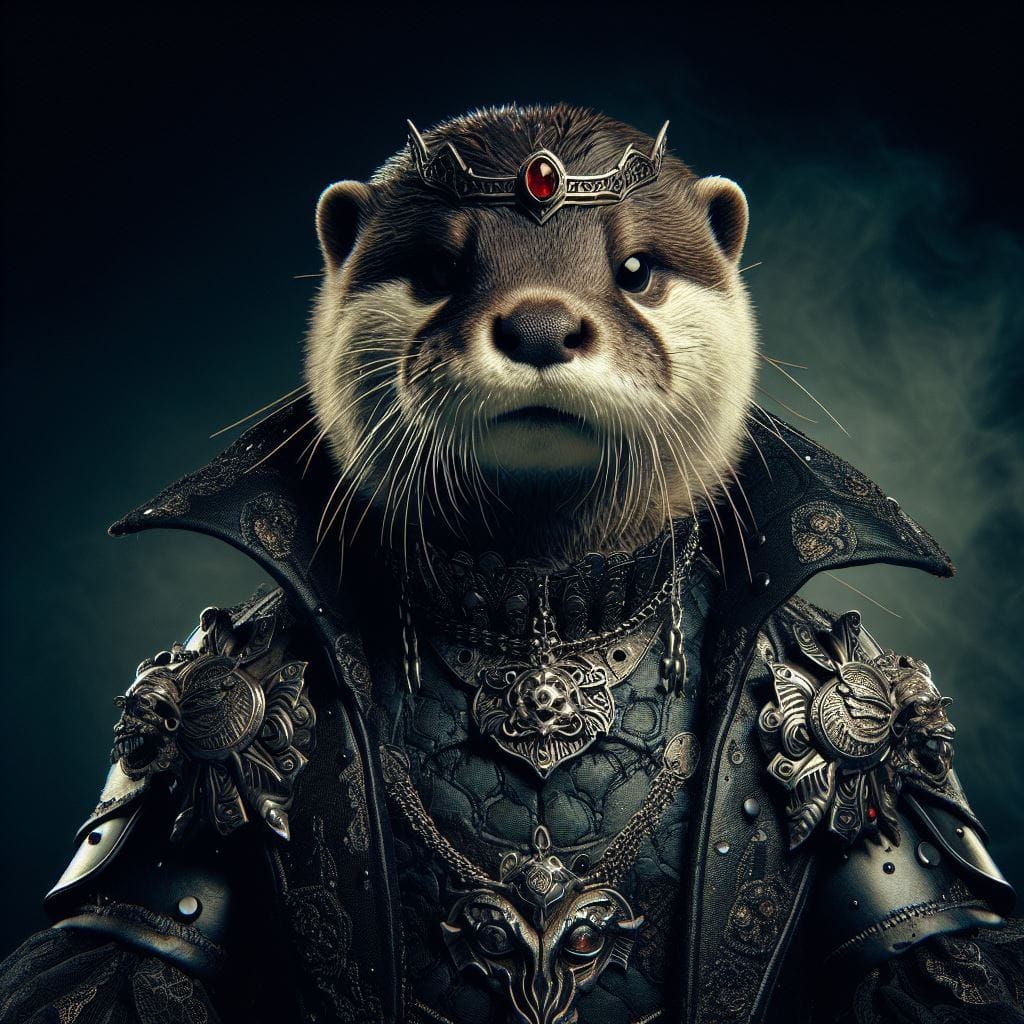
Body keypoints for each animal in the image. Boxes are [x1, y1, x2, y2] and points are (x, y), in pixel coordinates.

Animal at [2, 104, 1018, 1024]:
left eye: (636, 270)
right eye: (438, 270)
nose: (537, 325)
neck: (544, 619)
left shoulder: (864, 690)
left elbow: (927, 940)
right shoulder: (203, 684)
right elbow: (121, 945)